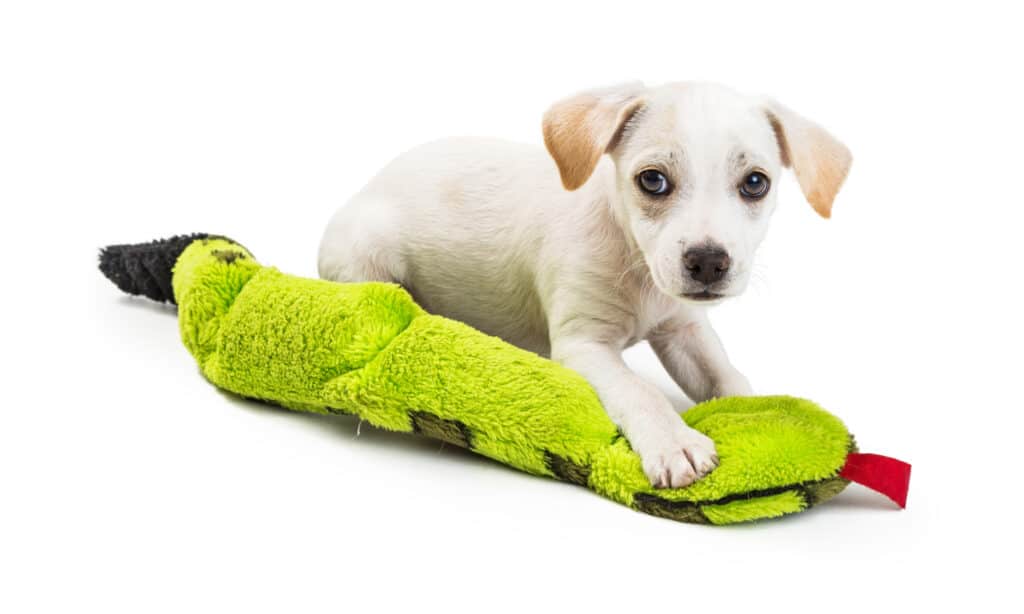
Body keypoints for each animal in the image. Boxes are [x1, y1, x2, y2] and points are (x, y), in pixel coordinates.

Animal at [317, 81, 847, 487]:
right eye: (652, 180)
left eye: (755, 183)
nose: (708, 262)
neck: (636, 267)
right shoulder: (583, 345)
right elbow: (639, 390)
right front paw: (674, 441)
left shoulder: (684, 330)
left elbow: (726, 376)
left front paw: (761, 413)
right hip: (364, 254)